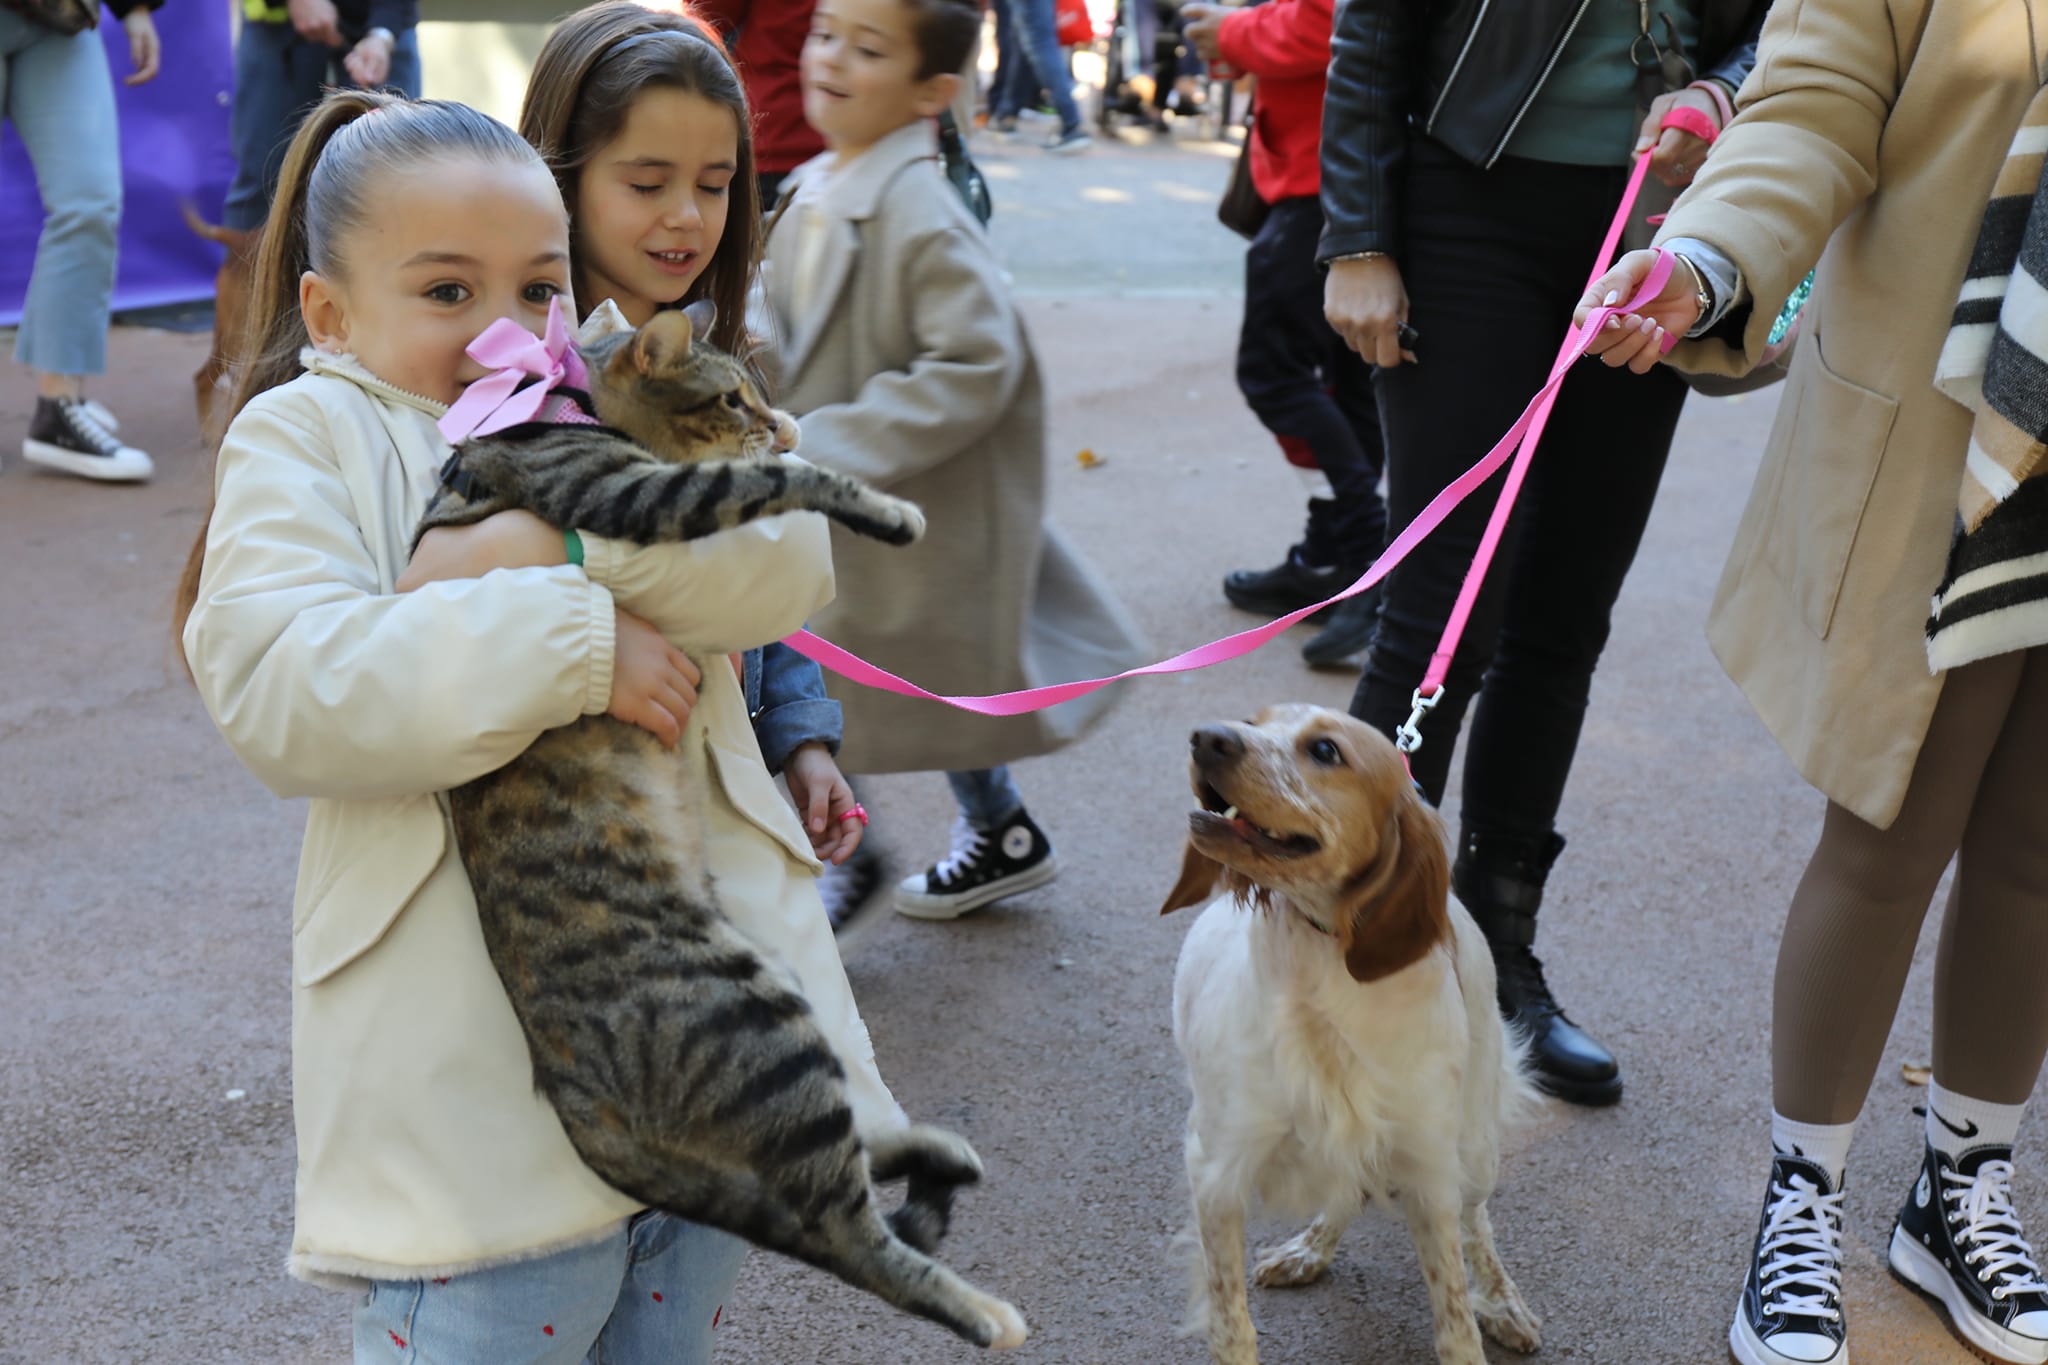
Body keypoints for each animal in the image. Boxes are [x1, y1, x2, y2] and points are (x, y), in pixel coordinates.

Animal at [413, 304, 1024, 1350]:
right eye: (734, 398)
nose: (777, 419)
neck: (566, 400)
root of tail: (575, 1103)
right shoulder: (638, 493)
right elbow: (780, 483)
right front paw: (876, 504)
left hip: (773, 999)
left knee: (833, 1166)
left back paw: (939, 1154)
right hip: (759, 1024)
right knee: (841, 1227)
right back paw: (985, 1312)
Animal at [1171, 712, 1540, 1358]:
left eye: (1325, 750)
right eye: (1252, 720)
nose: (1207, 737)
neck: (1321, 975)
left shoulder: (1429, 1166)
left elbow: (1455, 1317)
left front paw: (1483, 1315)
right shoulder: (1217, 1169)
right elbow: (1231, 1324)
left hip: (1473, 1148)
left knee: (1477, 1223)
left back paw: (1503, 1302)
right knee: (1349, 1190)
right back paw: (1309, 1252)